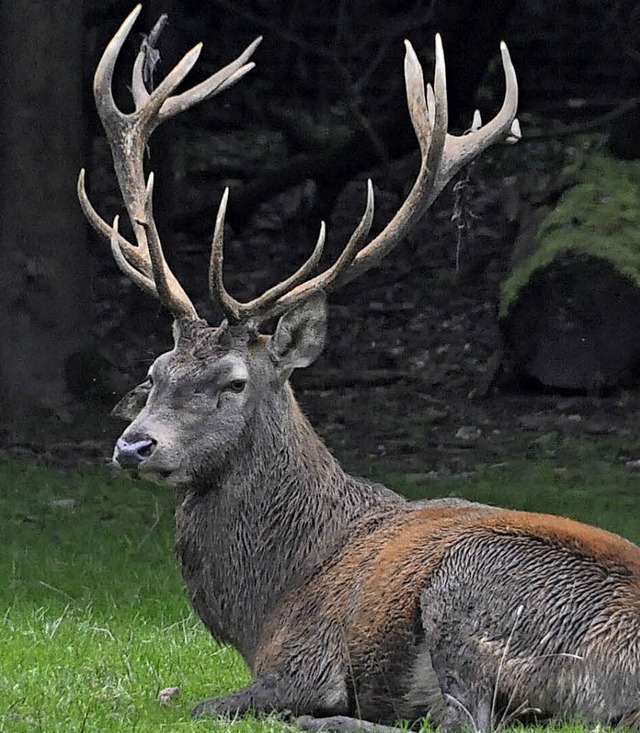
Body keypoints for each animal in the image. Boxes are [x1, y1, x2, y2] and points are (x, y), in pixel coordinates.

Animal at [80, 7, 640, 732]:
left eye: (234, 382)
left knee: (460, 719)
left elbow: (195, 702)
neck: (268, 600)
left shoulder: (302, 660)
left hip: (472, 588)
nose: (134, 444)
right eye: (153, 371)